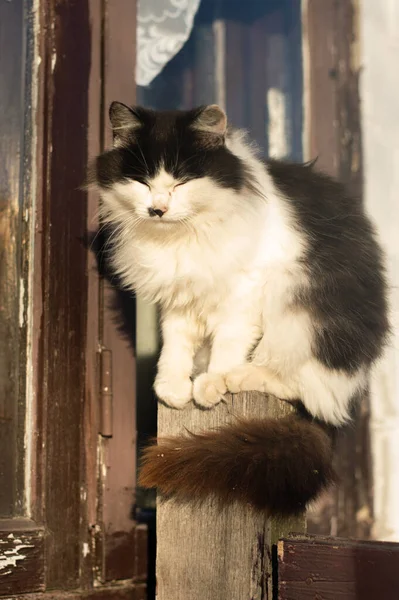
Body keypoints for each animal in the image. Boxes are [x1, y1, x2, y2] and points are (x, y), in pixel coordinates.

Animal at [91, 103, 390, 516]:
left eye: (181, 182)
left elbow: (229, 341)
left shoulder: (246, 289)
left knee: (298, 385)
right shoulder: (179, 299)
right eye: (142, 182)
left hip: (297, 314)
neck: (181, 236)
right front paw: (172, 387)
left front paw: (211, 382)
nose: (157, 209)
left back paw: (240, 377)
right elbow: (175, 344)